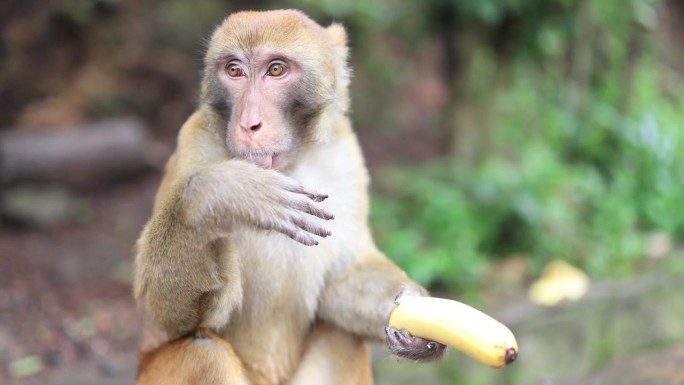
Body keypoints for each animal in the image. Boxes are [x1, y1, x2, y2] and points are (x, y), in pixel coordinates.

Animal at [133, 9, 446, 384]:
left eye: (276, 70)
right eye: (234, 70)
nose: (249, 124)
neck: (290, 163)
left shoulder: (344, 152)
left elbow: (342, 278)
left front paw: (415, 313)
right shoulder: (193, 143)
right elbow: (170, 320)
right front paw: (225, 194)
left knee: (341, 334)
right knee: (202, 350)